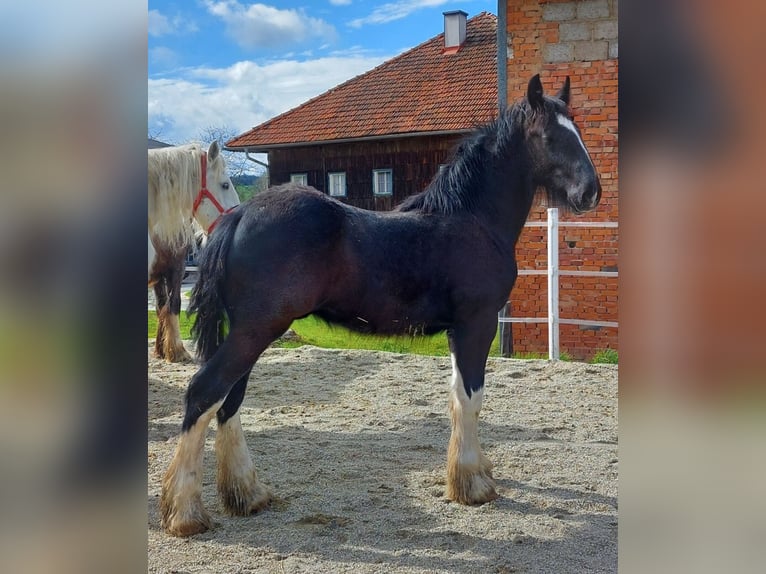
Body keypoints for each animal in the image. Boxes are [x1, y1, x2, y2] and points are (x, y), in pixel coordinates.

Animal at [152, 142, 242, 362]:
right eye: (225, 185)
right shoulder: (176, 268)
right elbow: (172, 305)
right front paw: (177, 351)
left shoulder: (159, 275)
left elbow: (161, 308)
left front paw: (161, 349)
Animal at [162, 74, 604, 536]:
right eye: (549, 135)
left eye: (577, 129)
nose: (591, 192)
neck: (473, 221)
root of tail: (239, 217)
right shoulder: (477, 324)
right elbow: (471, 398)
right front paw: (473, 485)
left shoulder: (457, 331)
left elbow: (455, 397)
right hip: (256, 329)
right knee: (205, 392)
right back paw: (186, 513)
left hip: (250, 330)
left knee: (229, 399)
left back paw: (247, 495)